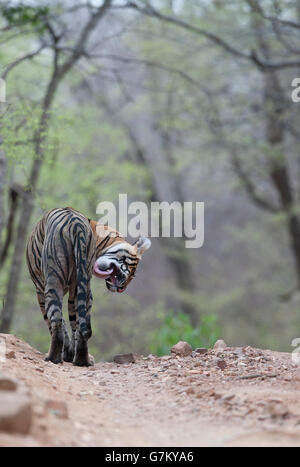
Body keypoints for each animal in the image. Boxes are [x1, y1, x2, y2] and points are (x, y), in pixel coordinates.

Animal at [26, 207, 151, 366]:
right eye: (132, 272)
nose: (122, 289)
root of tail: (75, 223)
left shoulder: (40, 288)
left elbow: (56, 322)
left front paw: (67, 354)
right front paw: (70, 354)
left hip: (53, 280)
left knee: (56, 320)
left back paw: (53, 358)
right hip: (80, 285)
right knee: (80, 325)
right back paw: (82, 360)